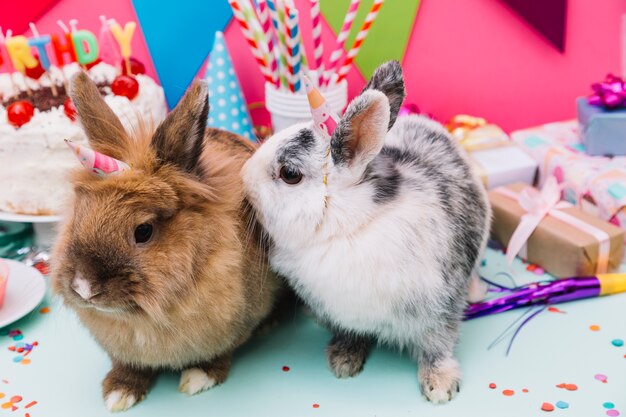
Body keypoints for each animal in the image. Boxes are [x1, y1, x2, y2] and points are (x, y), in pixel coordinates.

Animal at [51, 73, 280, 412]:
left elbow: (219, 355)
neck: (144, 316)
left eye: (143, 231)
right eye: (79, 214)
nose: (83, 287)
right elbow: (128, 365)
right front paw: (118, 394)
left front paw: (198, 377)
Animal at [241, 60, 490, 402]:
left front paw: (440, 386)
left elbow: (438, 345)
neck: (347, 230)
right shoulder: (343, 313)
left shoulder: (439, 307)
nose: (243, 177)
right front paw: (343, 360)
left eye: (289, 174)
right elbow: (350, 334)